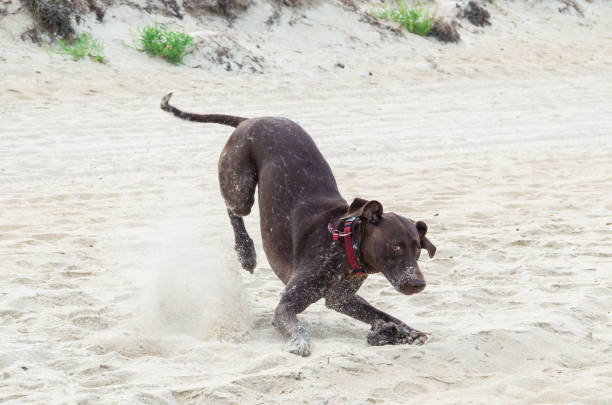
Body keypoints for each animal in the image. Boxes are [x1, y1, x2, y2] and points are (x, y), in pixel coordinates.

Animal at [160, 90, 438, 354]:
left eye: (417, 249)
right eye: (395, 246)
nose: (419, 284)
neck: (345, 244)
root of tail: (250, 120)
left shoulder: (340, 299)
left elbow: (386, 315)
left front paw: (409, 331)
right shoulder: (288, 303)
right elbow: (298, 327)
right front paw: (299, 343)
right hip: (241, 189)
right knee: (233, 211)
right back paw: (245, 250)